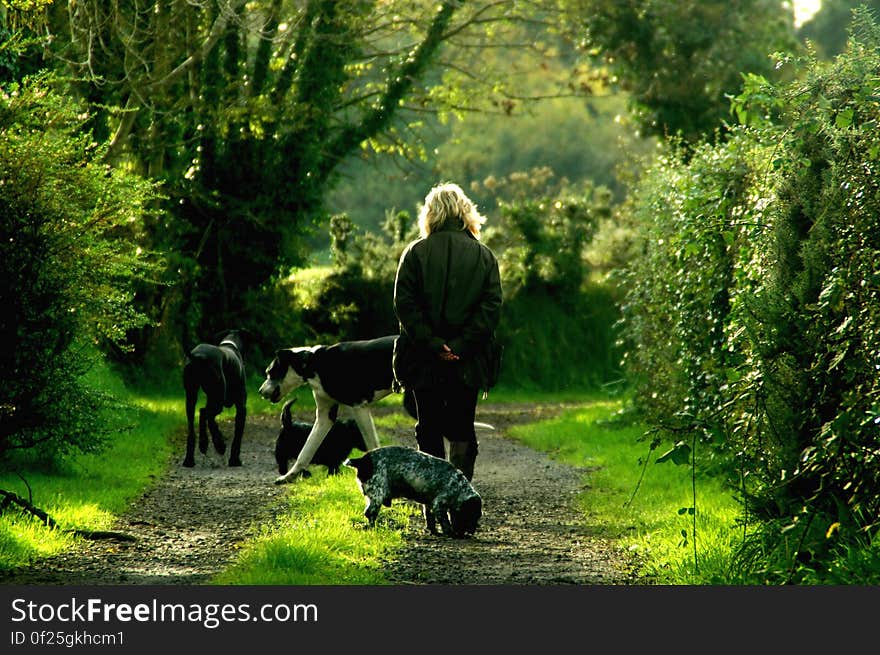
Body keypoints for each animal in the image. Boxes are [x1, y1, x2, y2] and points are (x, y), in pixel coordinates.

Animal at [182, 330, 249, 468]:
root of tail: (198, 356)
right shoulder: (242, 407)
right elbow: (237, 436)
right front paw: (235, 460)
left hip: (191, 396)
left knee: (198, 417)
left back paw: (193, 455)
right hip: (218, 398)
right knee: (208, 414)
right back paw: (219, 444)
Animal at [254, 336, 392, 484]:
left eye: (270, 372)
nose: (259, 391)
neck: (312, 363)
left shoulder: (359, 407)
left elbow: (372, 443)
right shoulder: (324, 417)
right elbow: (306, 451)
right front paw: (290, 475)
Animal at [344, 446, 482, 540]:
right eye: (472, 515)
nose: (471, 532)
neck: (458, 486)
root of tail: (363, 460)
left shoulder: (429, 504)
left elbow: (429, 517)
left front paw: (433, 531)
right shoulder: (439, 504)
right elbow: (445, 522)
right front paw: (450, 533)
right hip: (378, 495)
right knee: (370, 513)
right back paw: (373, 527)